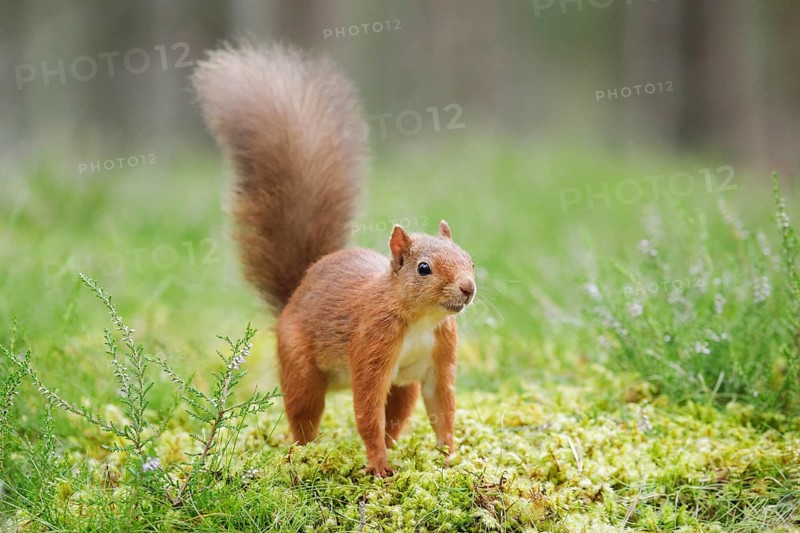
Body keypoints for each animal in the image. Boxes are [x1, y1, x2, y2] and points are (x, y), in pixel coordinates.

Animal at [191, 43, 476, 477]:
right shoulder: (372, 345)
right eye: (423, 268)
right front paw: (378, 466)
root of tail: (295, 295)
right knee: (304, 413)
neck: (420, 320)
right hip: (301, 368)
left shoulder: (439, 358)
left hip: (403, 386)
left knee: (398, 414)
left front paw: (449, 456)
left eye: (470, 259)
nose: (468, 287)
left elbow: (442, 408)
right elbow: (367, 411)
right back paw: (304, 454)